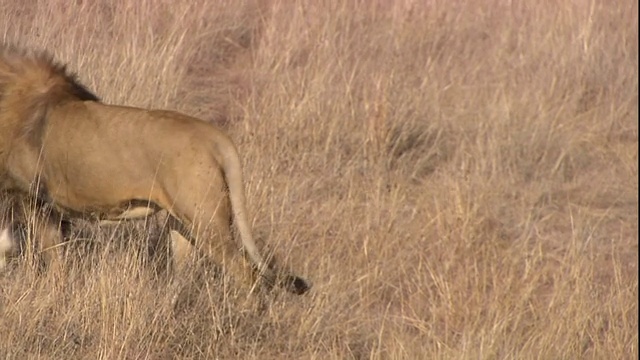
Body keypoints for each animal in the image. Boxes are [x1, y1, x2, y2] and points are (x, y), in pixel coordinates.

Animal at [0, 44, 310, 296]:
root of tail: (215, 136)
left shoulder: (35, 200)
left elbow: (51, 258)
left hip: (207, 221)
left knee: (247, 275)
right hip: (184, 224)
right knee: (184, 274)